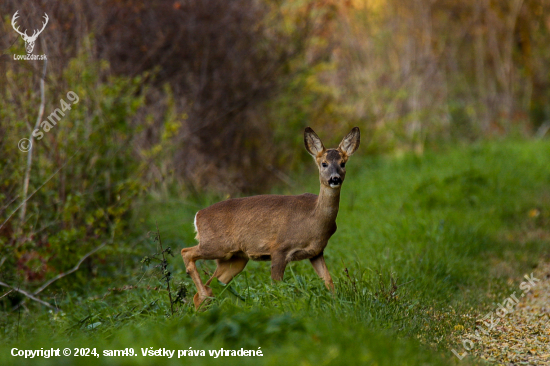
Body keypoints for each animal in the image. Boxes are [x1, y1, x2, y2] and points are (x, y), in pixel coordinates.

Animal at [182, 126, 362, 308]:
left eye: (342, 163)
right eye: (324, 163)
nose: (335, 178)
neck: (314, 219)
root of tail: (198, 215)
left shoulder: (316, 252)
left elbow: (328, 281)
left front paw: (337, 304)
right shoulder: (279, 248)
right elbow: (278, 287)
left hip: (234, 258)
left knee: (208, 288)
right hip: (215, 245)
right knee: (186, 252)